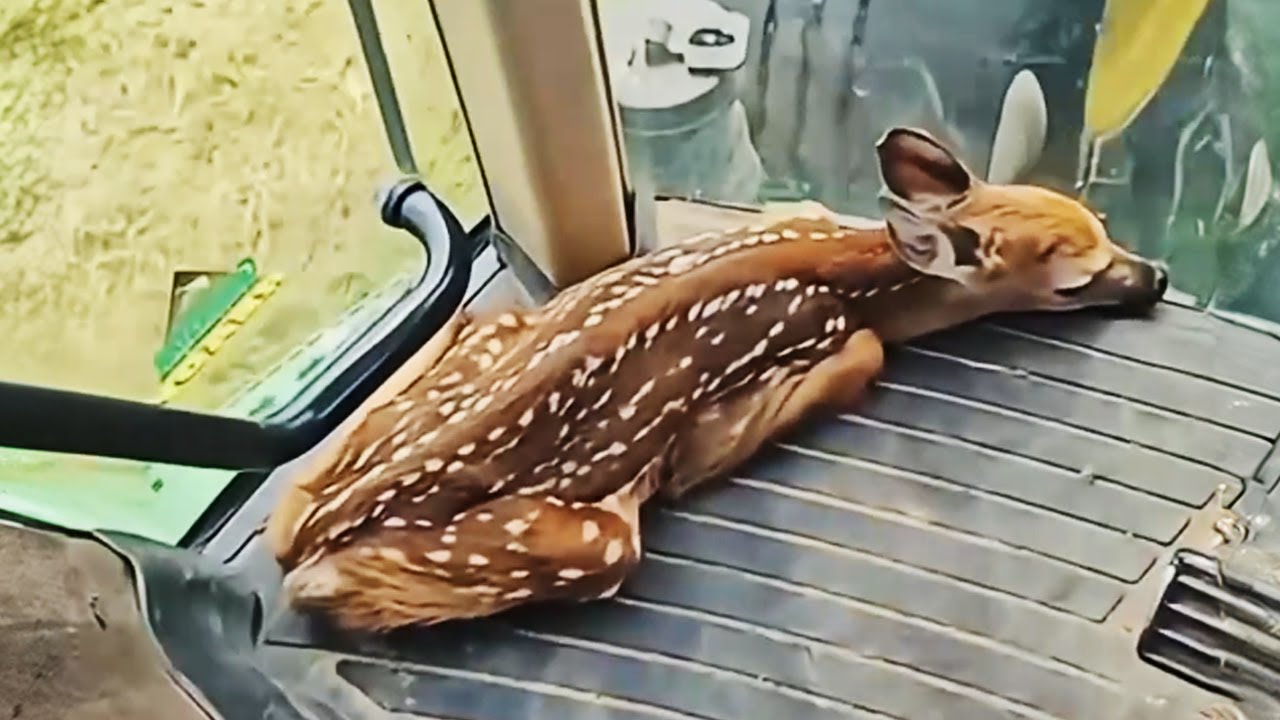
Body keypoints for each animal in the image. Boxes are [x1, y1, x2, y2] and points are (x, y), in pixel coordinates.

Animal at [265, 127, 1168, 633]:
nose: (1156, 277)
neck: (852, 267)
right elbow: (865, 356)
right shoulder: (824, 332)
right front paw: (699, 463)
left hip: (483, 340)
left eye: (1102, 223)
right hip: (589, 543)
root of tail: (318, 530)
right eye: (1073, 283)